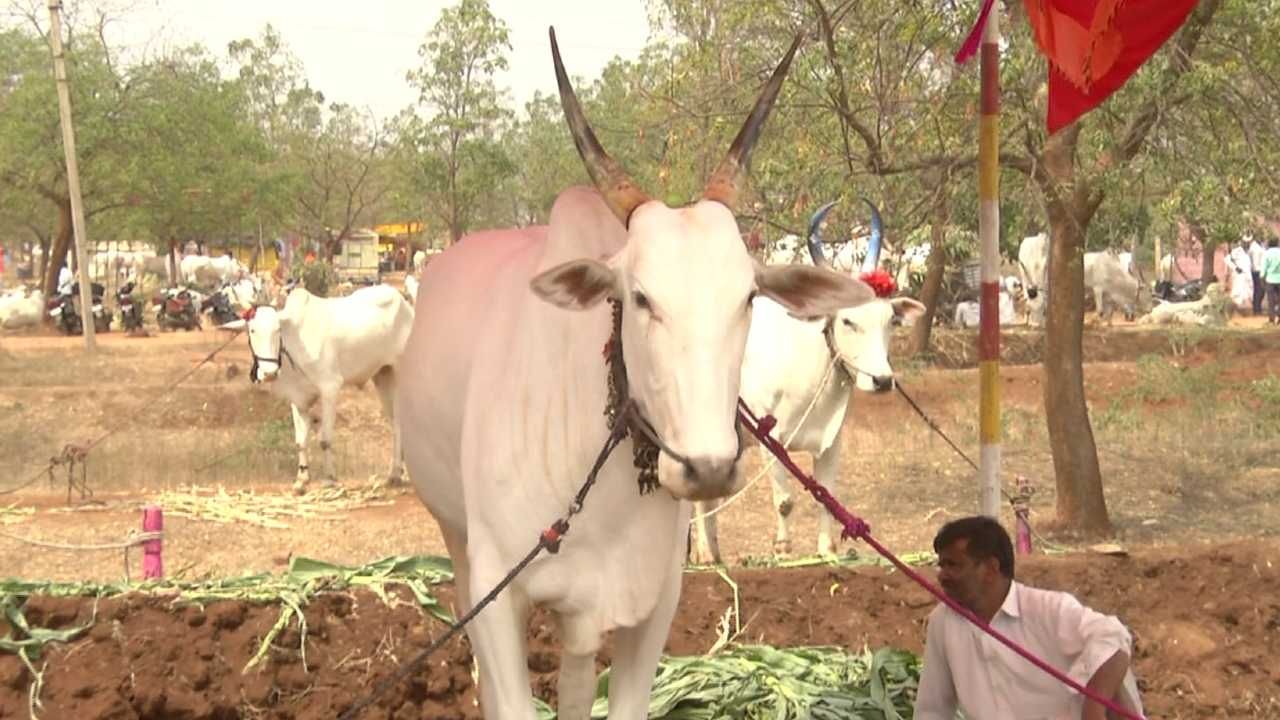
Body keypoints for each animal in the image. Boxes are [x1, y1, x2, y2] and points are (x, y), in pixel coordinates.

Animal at [220, 280, 414, 491]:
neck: (293, 342)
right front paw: (302, 479)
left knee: (400, 421)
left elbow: (324, 439)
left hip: (399, 374)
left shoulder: (330, 387)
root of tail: (405, 304)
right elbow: (300, 441)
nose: (270, 373)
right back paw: (397, 472)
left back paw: (397, 474)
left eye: (277, 330)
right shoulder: (297, 398)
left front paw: (329, 478)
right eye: (252, 330)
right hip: (382, 375)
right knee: (394, 422)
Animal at [389, 33, 870, 717]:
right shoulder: (498, 594)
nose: (708, 468)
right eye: (640, 297)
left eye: (750, 296)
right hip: (457, 544)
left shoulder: (653, 603)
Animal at [691, 196, 921, 561]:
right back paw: (706, 555)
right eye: (848, 321)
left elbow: (826, 496)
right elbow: (785, 501)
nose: (883, 380)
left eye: (890, 321)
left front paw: (827, 550)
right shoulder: (769, 439)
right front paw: (783, 549)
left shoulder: (832, 439)